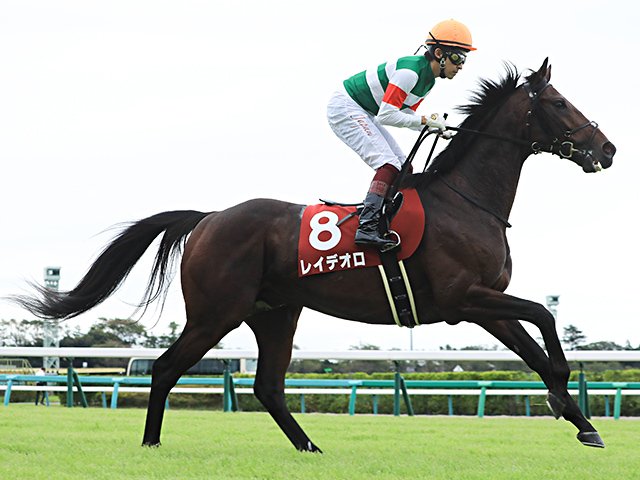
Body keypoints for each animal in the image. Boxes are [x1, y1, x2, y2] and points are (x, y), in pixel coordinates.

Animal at [12, 58, 616, 451]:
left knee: (268, 387)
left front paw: (580, 420)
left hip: (276, 313)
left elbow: (536, 352)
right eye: (559, 102)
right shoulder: (465, 299)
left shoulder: (482, 304)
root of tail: (208, 218)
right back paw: (152, 445)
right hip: (215, 312)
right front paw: (567, 405)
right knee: (165, 369)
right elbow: (545, 320)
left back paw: (310, 449)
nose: (606, 148)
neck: (465, 200)